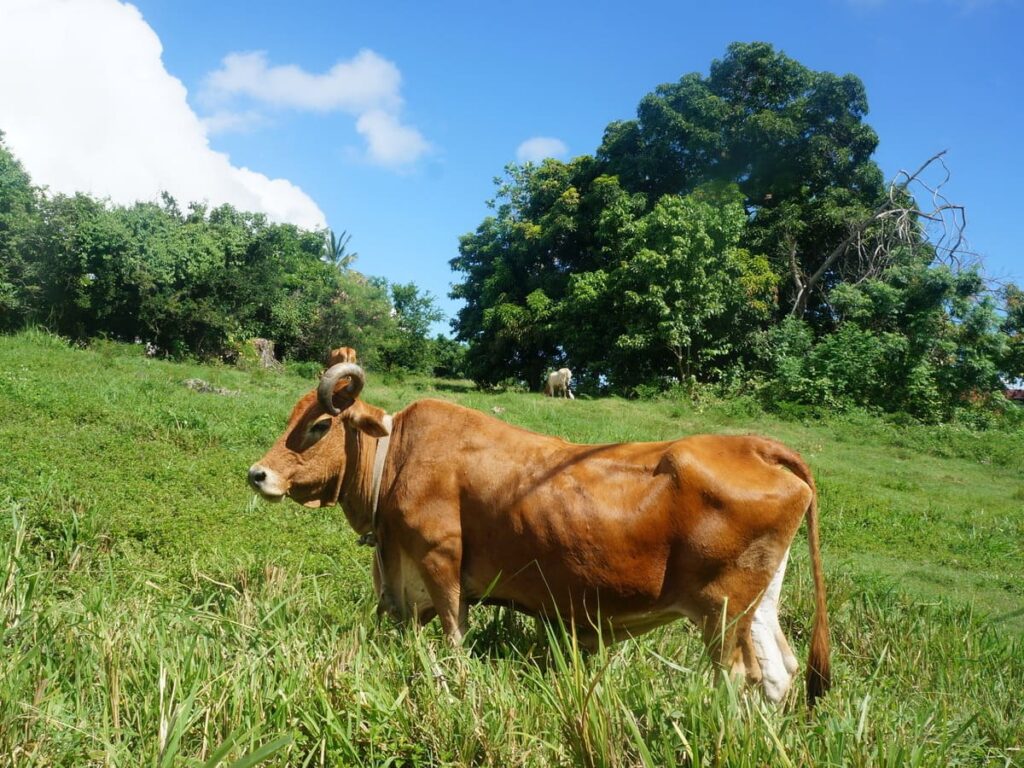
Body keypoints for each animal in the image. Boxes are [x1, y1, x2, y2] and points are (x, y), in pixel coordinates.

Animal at [249, 364, 831, 708]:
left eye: (319, 426)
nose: (259, 474)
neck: (397, 457)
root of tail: (753, 444)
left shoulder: (440, 563)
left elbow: (454, 643)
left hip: (722, 609)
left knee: (737, 676)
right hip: (757, 603)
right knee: (778, 673)